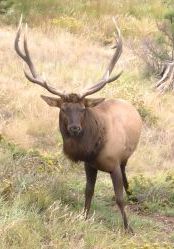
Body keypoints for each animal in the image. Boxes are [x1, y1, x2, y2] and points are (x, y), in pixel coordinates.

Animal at [14, 17, 142, 231]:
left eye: (82, 108)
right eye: (63, 108)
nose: (74, 128)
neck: (93, 150)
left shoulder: (114, 163)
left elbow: (119, 198)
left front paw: (128, 228)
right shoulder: (89, 165)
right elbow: (88, 191)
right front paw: (84, 216)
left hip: (126, 156)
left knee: (126, 172)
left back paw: (131, 191)